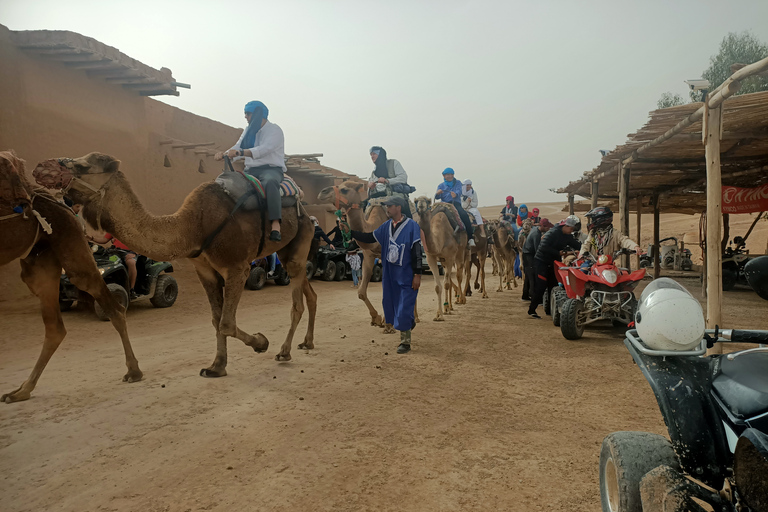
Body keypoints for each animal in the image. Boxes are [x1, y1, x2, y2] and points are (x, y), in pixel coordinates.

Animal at [0, 150, 142, 402]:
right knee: (56, 326)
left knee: (113, 308)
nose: (41, 167)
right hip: (42, 263)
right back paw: (21, 390)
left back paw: (134, 371)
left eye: (85, 166)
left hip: (70, 255)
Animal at [37, 150, 316, 374]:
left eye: (83, 166)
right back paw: (307, 342)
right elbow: (217, 320)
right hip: (287, 252)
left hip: (301, 240)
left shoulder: (238, 267)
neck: (193, 226)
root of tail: (305, 207)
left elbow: (226, 323)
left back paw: (285, 351)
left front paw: (261, 342)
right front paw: (216, 367)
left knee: (297, 303)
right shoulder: (204, 269)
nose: (41, 167)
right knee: (309, 292)